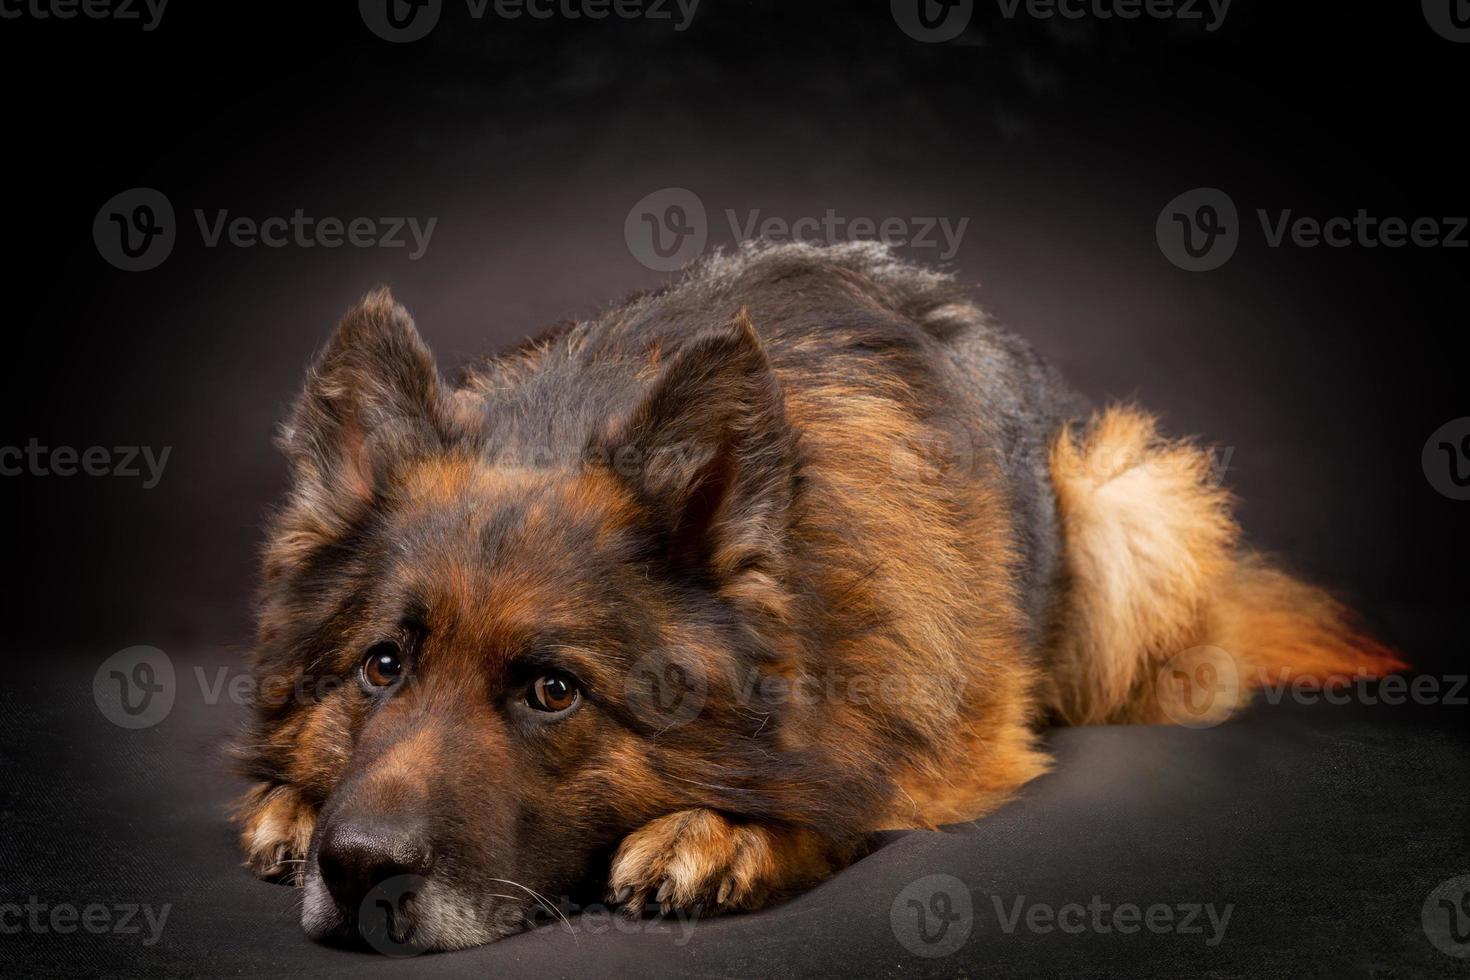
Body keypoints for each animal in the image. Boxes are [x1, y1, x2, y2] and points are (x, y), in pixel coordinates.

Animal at [229, 240, 1399, 952]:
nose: (357, 870)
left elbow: (849, 794)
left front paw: (722, 835)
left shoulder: (936, 731)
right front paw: (289, 804)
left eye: (553, 692)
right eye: (383, 665)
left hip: (1128, 504)